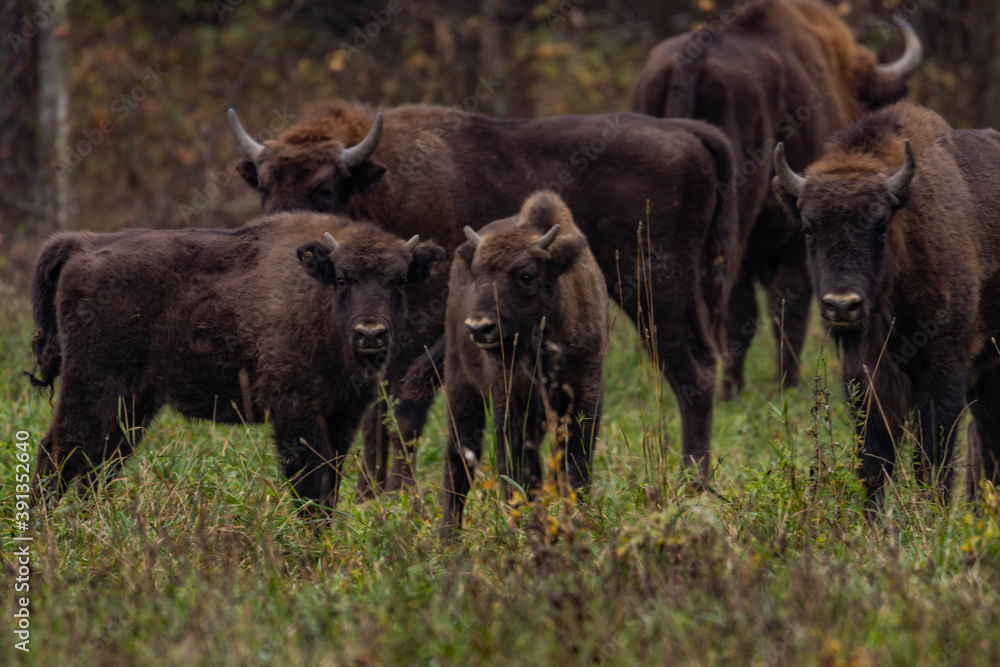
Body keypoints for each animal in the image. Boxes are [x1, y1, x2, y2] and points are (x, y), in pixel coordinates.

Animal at [28, 213, 446, 512]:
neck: (318, 300)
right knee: (59, 453)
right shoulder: (295, 409)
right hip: (93, 385)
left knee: (99, 464)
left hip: (133, 404)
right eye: (343, 279)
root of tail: (83, 244)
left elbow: (331, 482)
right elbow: (311, 482)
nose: (370, 334)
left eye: (399, 280)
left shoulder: (343, 415)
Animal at [230, 100, 740, 486]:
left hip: (656, 289)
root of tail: (686, 133)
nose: (282, 233)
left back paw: (692, 480)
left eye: (325, 188)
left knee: (692, 371)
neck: (384, 189)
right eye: (263, 185)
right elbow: (377, 412)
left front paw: (394, 491)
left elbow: (403, 413)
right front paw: (369, 491)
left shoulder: (420, 331)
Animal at [440, 193, 608, 536]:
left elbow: (575, 465)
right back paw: (449, 537)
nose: (479, 327)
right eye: (477, 273)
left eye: (526, 275)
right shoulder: (512, 403)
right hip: (461, 389)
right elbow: (517, 469)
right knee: (458, 460)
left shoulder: (585, 395)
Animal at [772, 100, 1000, 506]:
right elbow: (874, 460)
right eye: (809, 228)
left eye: (880, 226)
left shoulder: (944, 369)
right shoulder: (864, 378)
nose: (843, 305)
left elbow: (933, 457)